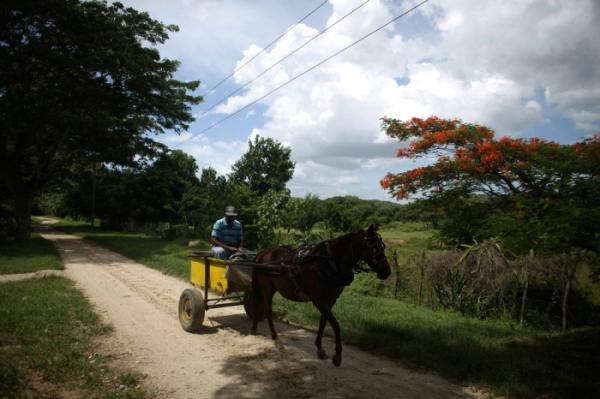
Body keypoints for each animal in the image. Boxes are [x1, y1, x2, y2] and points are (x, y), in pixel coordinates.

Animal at [248, 227, 390, 368]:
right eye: (374, 248)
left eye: (383, 247)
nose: (387, 271)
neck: (328, 262)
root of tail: (263, 252)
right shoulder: (318, 299)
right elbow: (336, 325)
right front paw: (337, 356)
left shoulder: (330, 300)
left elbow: (323, 322)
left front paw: (320, 348)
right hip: (267, 289)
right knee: (267, 310)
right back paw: (275, 338)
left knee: (257, 303)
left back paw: (255, 326)